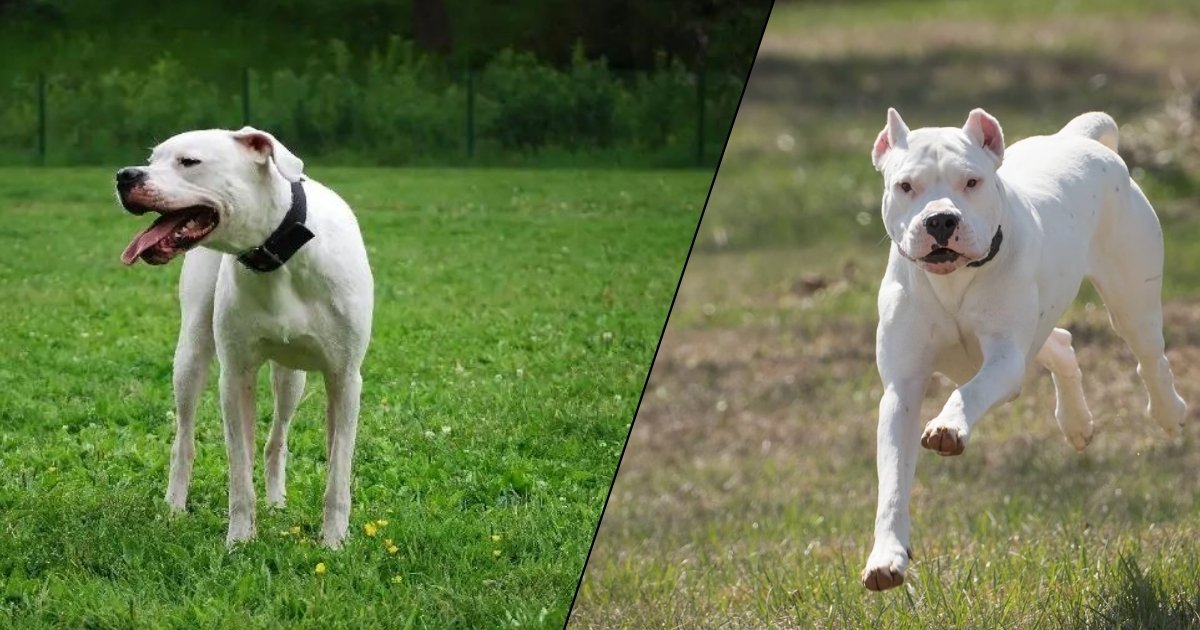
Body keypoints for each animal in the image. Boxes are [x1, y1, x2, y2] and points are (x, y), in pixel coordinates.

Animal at [117, 127, 372, 544]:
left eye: (189, 161)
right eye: (152, 159)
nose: (125, 175)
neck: (278, 255)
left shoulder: (345, 379)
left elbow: (338, 471)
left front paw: (334, 542)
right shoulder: (235, 378)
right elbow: (238, 471)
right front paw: (239, 540)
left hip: (293, 379)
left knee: (277, 439)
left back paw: (276, 502)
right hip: (190, 355)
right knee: (184, 439)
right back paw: (174, 507)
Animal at [864, 106, 1180, 590]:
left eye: (971, 182)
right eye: (905, 186)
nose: (940, 220)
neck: (953, 281)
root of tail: (1078, 137)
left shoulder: (1004, 359)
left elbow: (969, 391)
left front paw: (948, 426)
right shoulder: (902, 388)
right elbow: (894, 482)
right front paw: (886, 558)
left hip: (1131, 298)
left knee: (1150, 357)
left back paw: (1169, 411)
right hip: (1042, 325)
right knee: (1062, 344)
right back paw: (1076, 422)